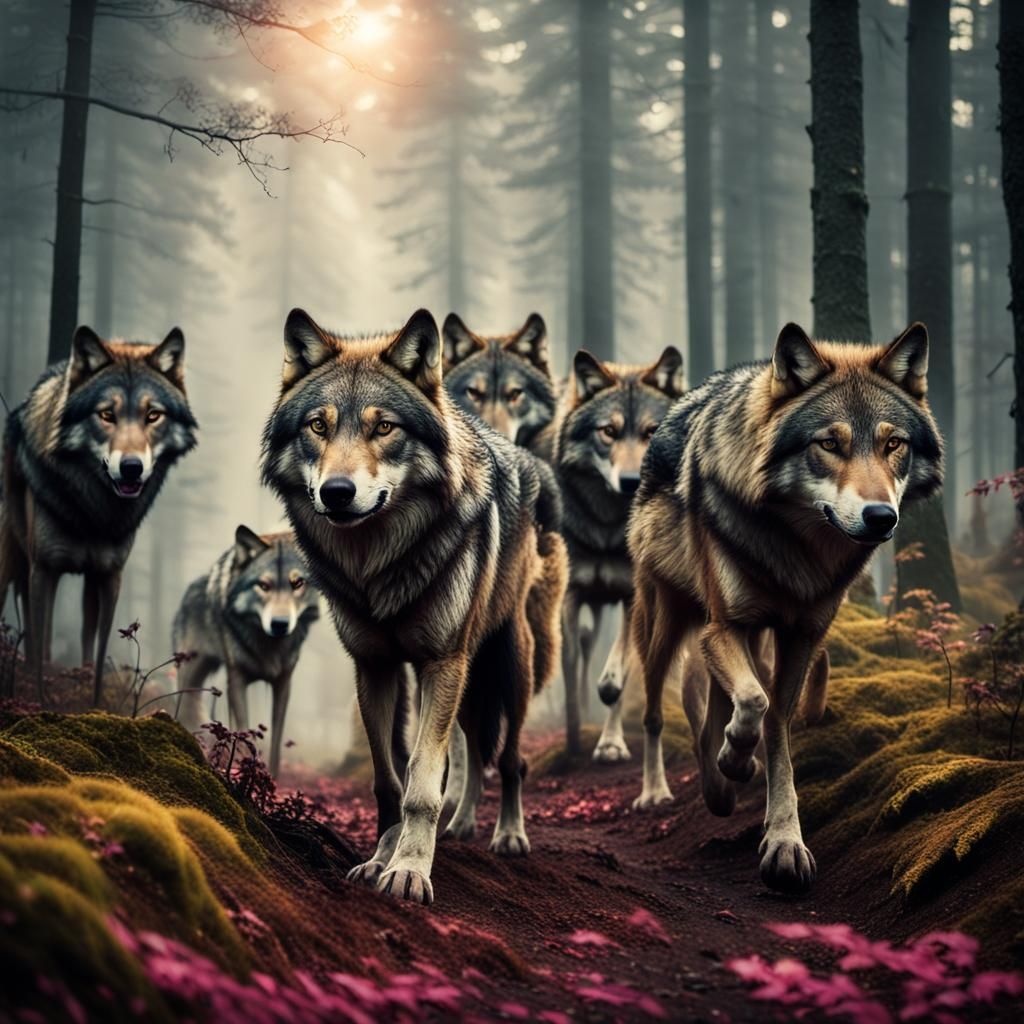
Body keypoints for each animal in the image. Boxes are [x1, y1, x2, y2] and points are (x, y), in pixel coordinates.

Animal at [0, 326, 197, 704]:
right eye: (107, 415)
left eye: (153, 415)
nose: (132, 468)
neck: (93, 511)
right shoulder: (43, 569)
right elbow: (40, 651)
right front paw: (41, 703)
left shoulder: (108, 576)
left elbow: (97, 655)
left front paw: (90, 705)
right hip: (14, 564)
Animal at [172, 526, 320, 776]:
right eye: (264, 585)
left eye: (298, 583)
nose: (279, 624)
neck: (269, 646)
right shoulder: (237, 680)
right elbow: (241, 736)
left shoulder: (283, 683)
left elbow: (276, 745)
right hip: (190, 679)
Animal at [552, 346, 684, 760]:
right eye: (608, 432)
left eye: (651, 431)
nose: (630, 482)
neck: (607, 530)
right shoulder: (571, 595)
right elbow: (569, 671)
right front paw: (573, 741)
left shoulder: (632, 594)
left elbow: (617, 679)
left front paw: (610, 743)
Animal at [628, 322, 942, 892]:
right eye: (829, 444)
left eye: (894, 444)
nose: (880, 516)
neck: (797, 548)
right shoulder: (720, 629)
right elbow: (753, 702)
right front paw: (735, 759)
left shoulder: (802, 636)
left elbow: (774, 719)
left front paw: (782, 839)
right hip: (664, 626)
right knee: (657, 712)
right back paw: (660, 790)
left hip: (751, 635)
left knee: (716, 710)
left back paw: (723, 776)